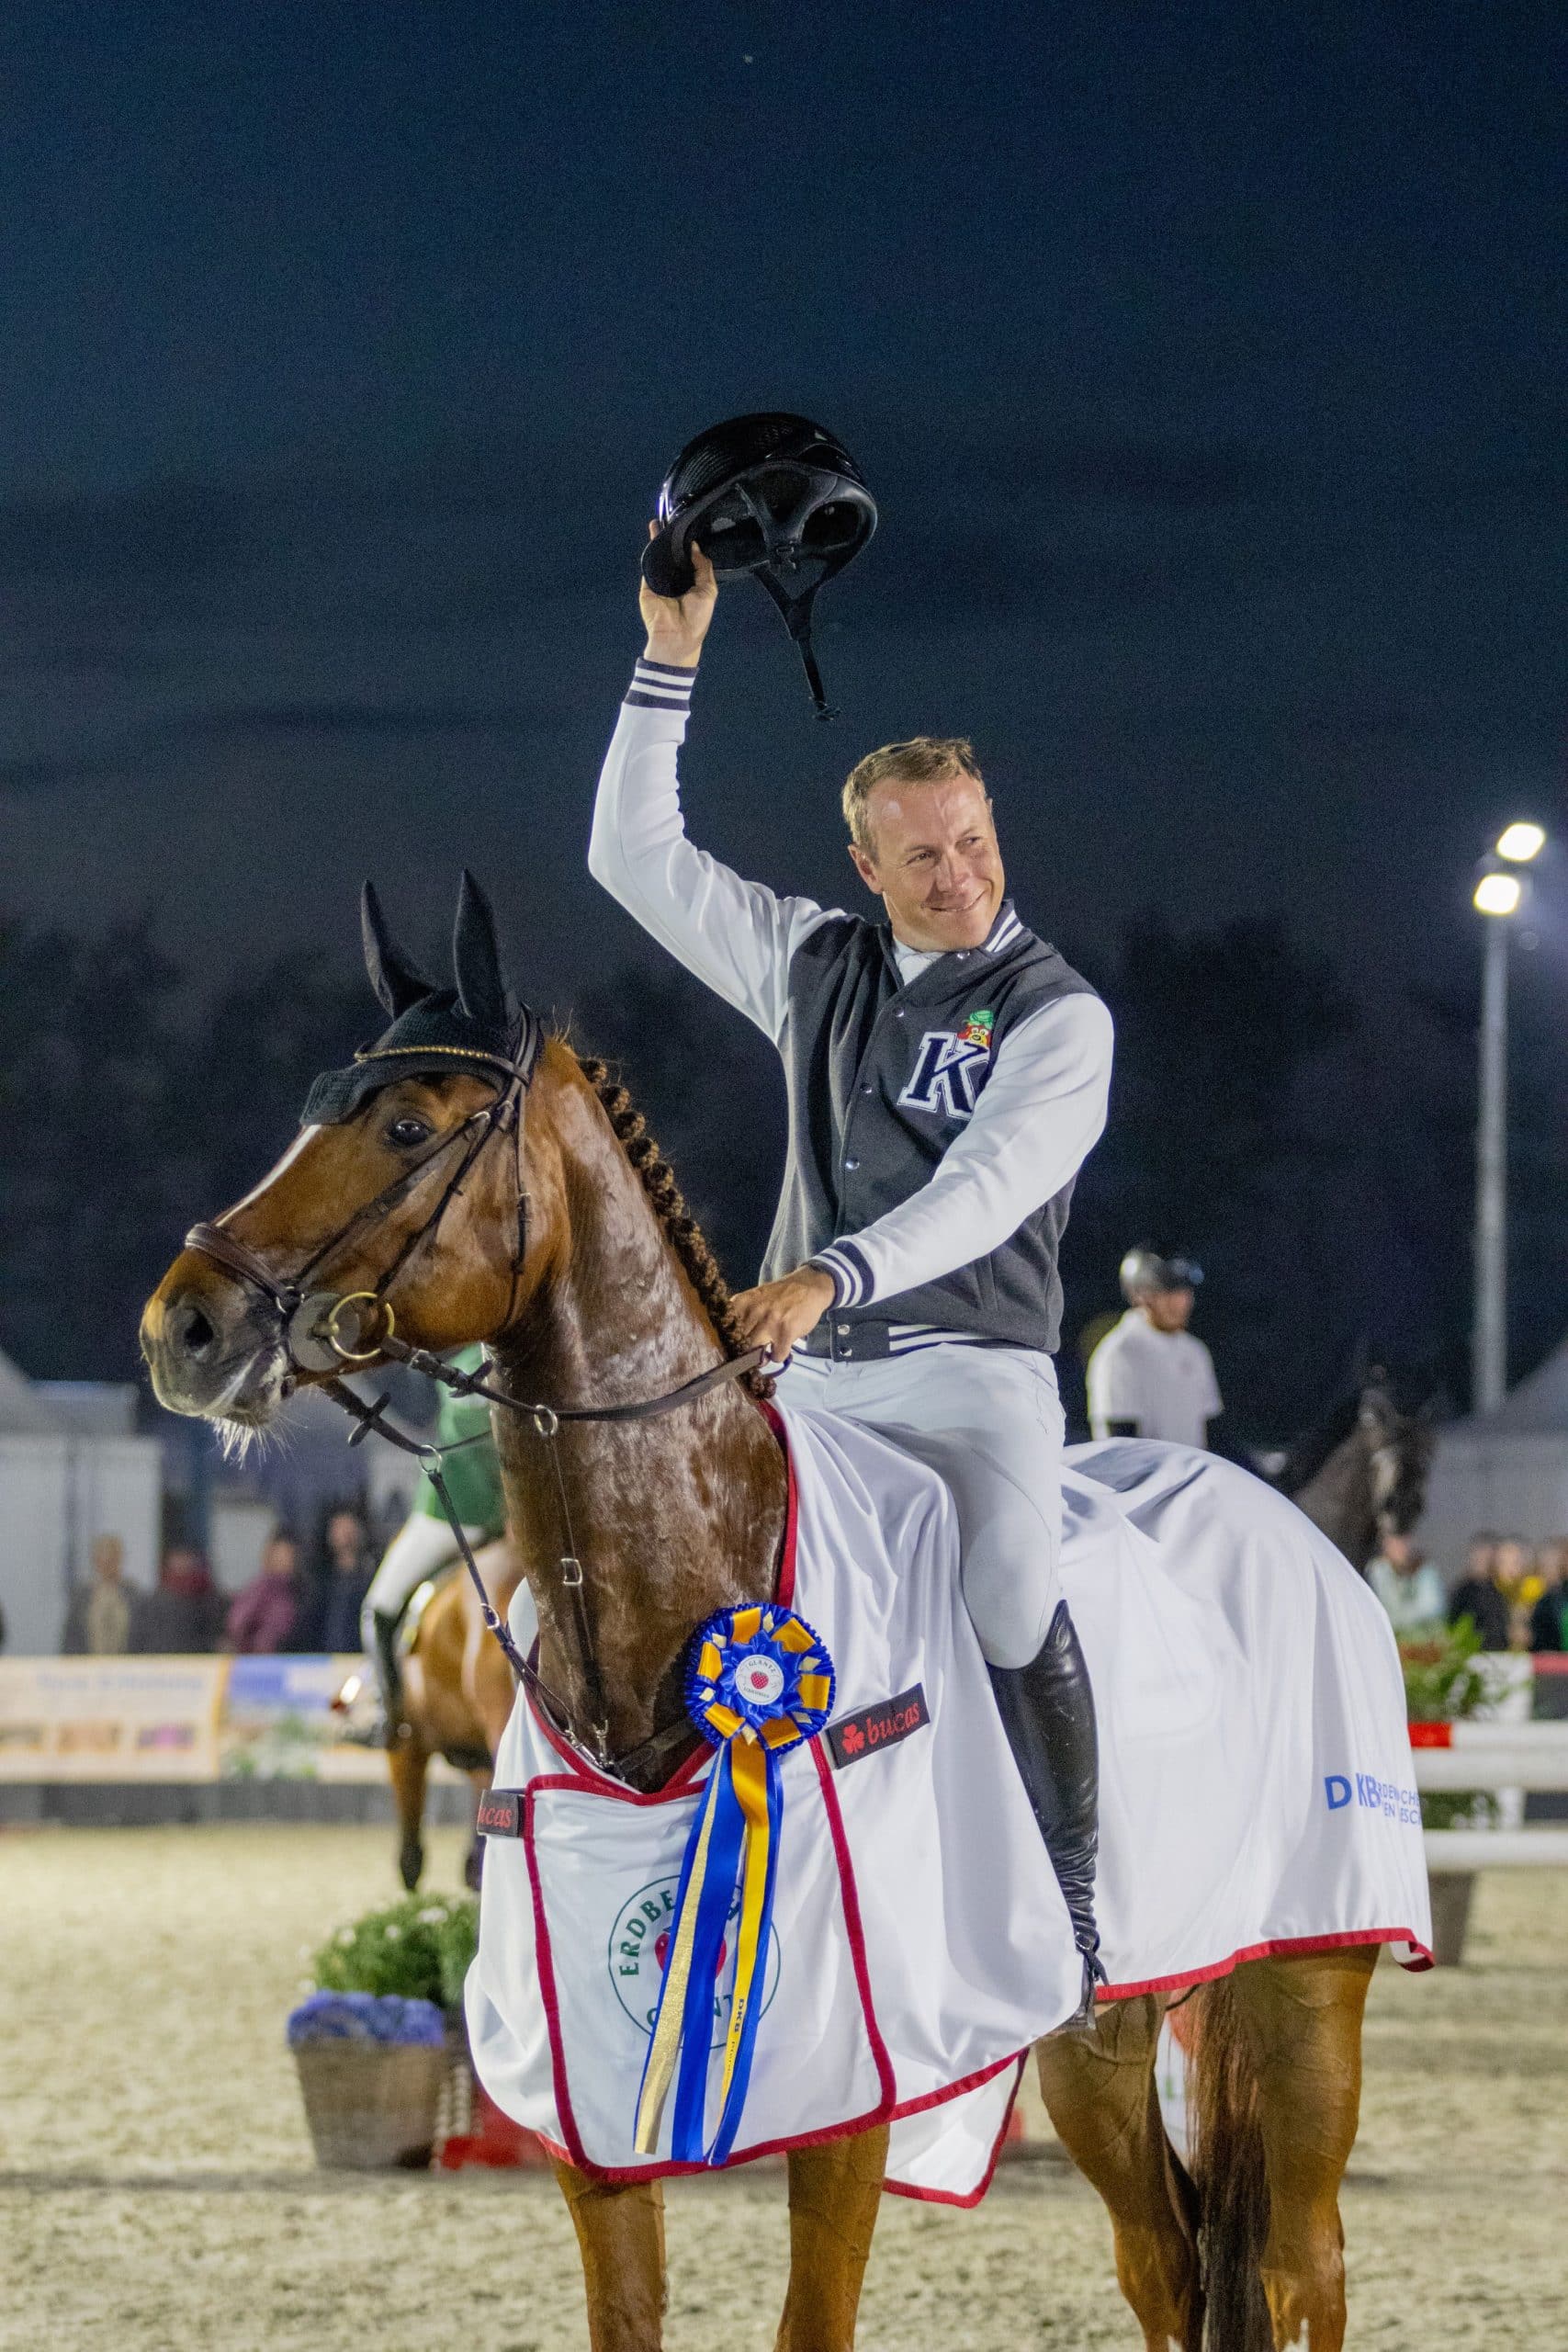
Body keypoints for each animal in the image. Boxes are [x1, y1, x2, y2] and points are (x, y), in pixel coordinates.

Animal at [141, 884, 1382, 2352]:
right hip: (1102, 2037)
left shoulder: (845, 2098)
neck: (689, 1585)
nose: (183, 1328)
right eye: (312, 1106)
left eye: (404, 1126)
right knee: (1166, 2263)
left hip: (1305, 1993)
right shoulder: (596, 2123)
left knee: (1299, 2267)